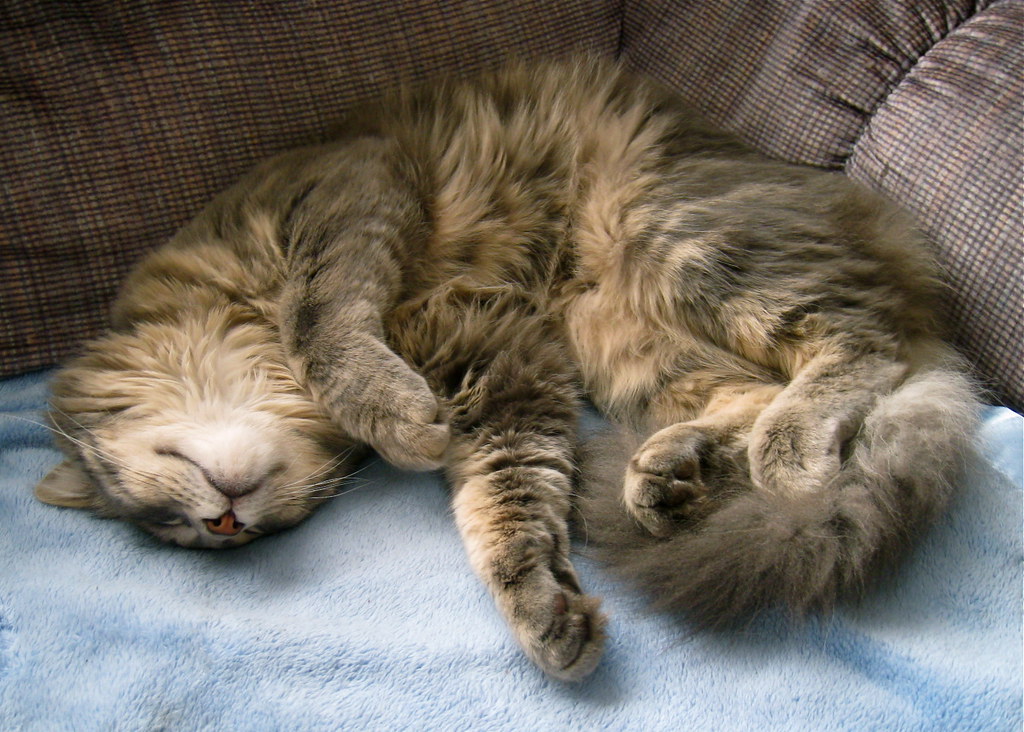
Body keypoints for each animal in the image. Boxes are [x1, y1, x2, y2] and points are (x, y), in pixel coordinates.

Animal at [32, 57, 974, 679]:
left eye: (164, 507)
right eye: (180, 531)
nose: (223, 525)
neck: (219, 306)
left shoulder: (347, 197)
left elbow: (323, 325)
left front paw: (394, 415)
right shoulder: (505, 362)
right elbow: (505, 510)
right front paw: (546, 612)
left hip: (675, 235)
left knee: (859, 348)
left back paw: (784, 453)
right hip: (615, 332)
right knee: (754, 395)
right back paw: (669, 474)